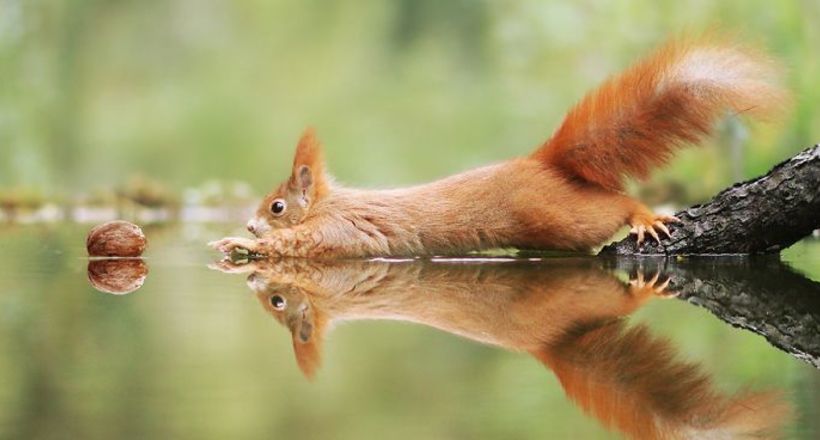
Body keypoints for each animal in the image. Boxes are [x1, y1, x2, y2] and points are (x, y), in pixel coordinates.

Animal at [211, 38, 788, 258]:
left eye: (277, 206)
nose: (250, 225)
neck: (330, 204)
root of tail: (540, 163)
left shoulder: (338, 232)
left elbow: (301, 247)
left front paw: (238, 244)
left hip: (556, 216)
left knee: (614, 206)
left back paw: (644, 214)